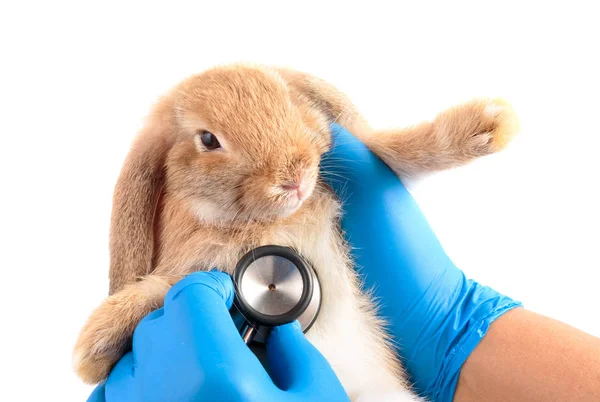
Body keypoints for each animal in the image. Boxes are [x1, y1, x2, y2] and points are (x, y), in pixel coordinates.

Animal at [72, 64, 516, 400]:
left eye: (287, 102)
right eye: (208, 139)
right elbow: (158, 289)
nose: (295, 177)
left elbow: (404, 149)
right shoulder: (195, 267)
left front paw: (491, 124)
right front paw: (93, 349)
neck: (264, 222)